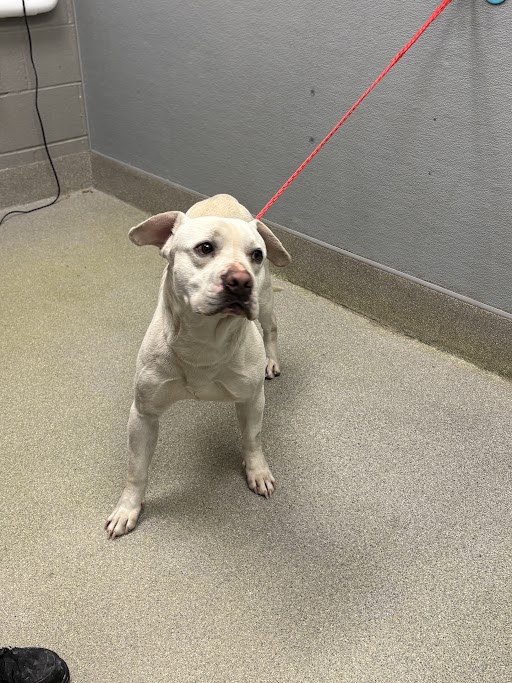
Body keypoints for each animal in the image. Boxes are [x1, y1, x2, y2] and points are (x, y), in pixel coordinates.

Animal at [106, 194, 291, 538]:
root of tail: (223, 198)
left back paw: (271, 359)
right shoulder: (143, 415)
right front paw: (128, 508)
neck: (205, 342)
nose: (241, 280)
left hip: (265, 301)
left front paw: (257, 470)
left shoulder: (252, 399)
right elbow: (136, 470)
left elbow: (253, 439)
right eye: (205, 248)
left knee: (271, 326)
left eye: (256, 255)